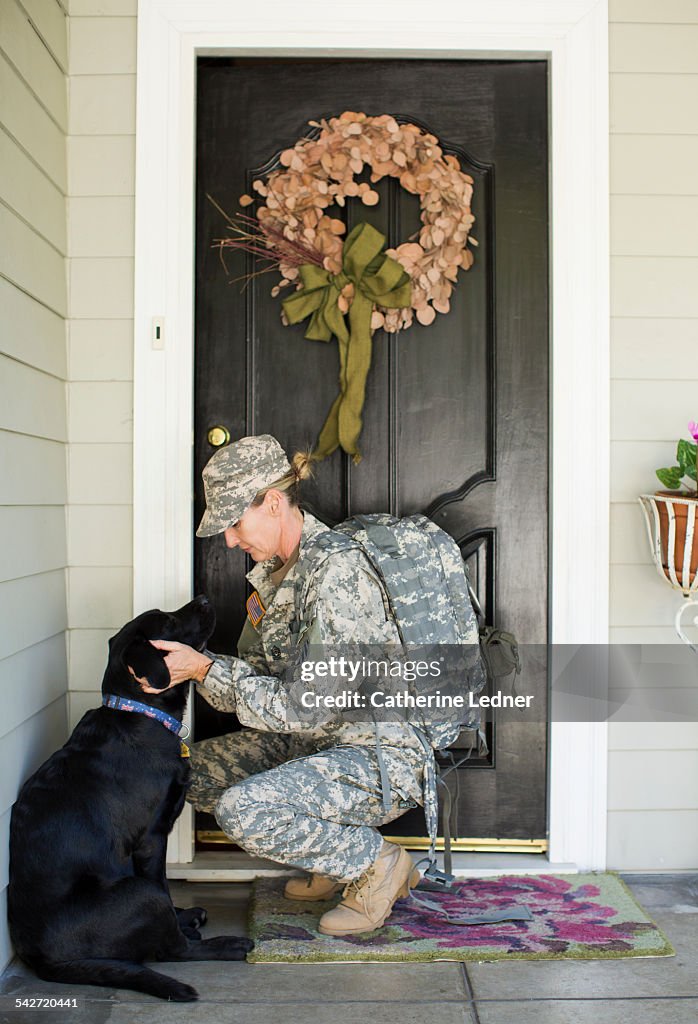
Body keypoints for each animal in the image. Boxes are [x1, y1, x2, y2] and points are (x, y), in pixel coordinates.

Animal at [8, 598, 252, 1003]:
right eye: (168, 621)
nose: (203, 599)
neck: (141, 714)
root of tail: (43, 961)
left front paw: (182, 916)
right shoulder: (151, 839)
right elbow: (164, 885)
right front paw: (183, 921)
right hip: (139, 892)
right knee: (172, 951)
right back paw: (225, 944)